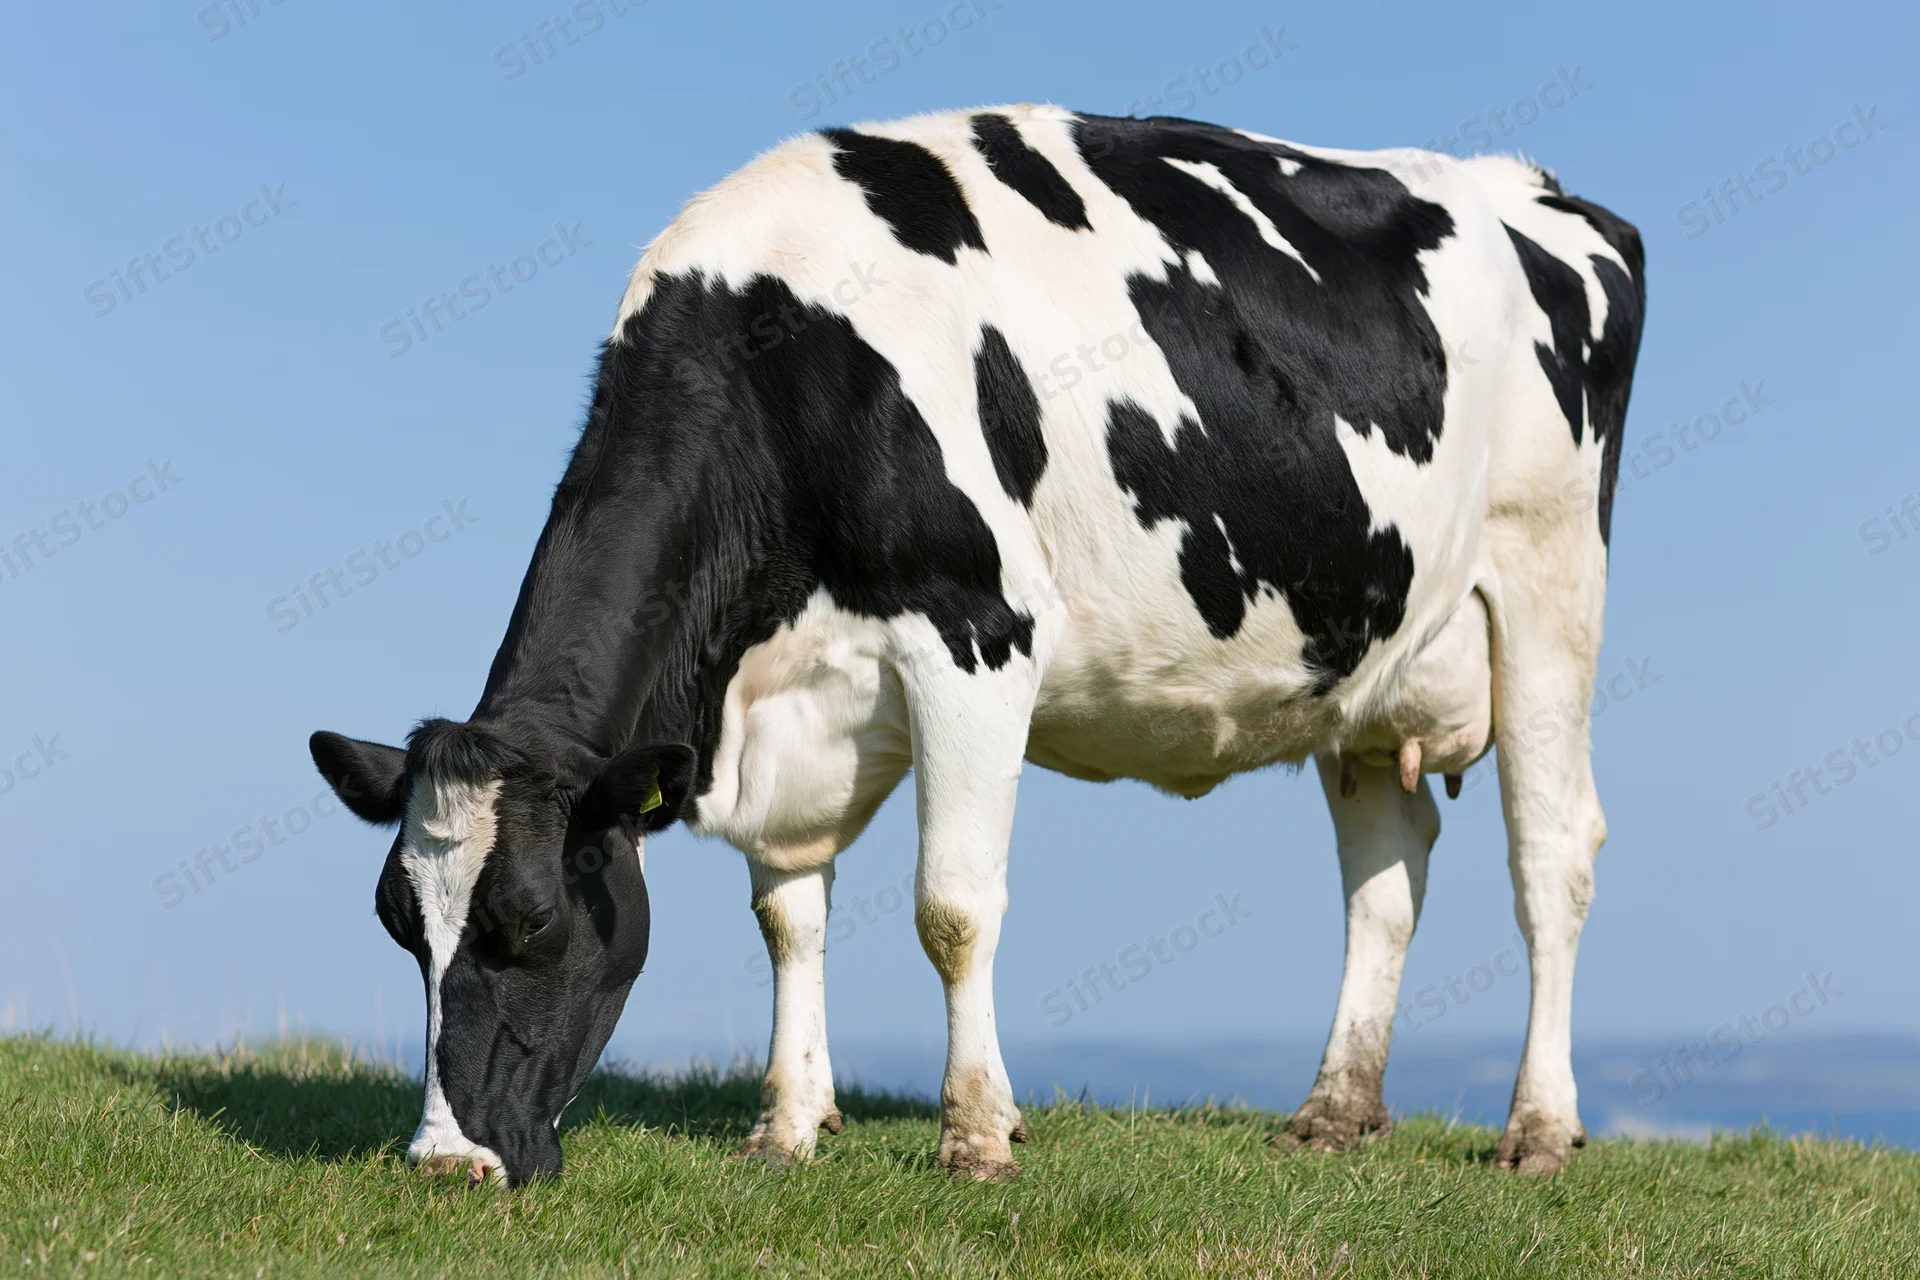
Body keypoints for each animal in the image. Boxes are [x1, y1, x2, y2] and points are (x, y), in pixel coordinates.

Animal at [310, 105, 1644, 1187]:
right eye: (397, 921)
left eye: (532, 917)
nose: (446, 1162)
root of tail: (1541, 192)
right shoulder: (790, 709)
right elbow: (788, 912)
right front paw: (789, 1124)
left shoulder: (975, 633)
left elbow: (951, 906)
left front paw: (977, 1134)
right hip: (1368, 653)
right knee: (1384, 871)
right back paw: (1334, 1109)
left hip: (1548, 585)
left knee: (1554, 856)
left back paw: (1537, 1128)